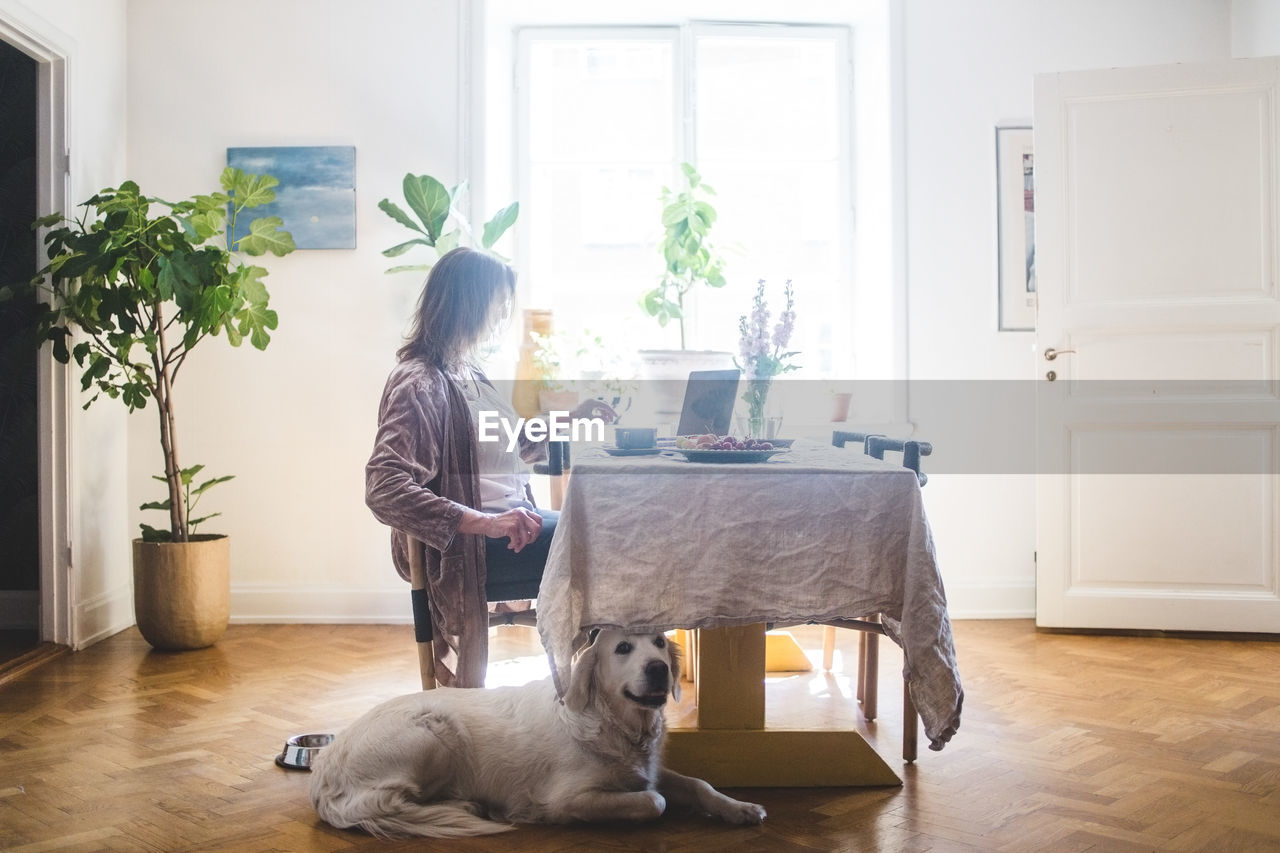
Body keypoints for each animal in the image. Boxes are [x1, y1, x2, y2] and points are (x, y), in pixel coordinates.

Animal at [307, 625, 768, 835]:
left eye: (658, 642)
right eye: (622, 648)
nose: (658, 669)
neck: (615, 724)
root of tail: (323, 768)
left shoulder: (649, 769)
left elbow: (697, 783)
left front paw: (740, 808)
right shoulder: (565, 799)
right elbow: (655, 801)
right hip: (434, 731)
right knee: (391, 802)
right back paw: (468, 807)